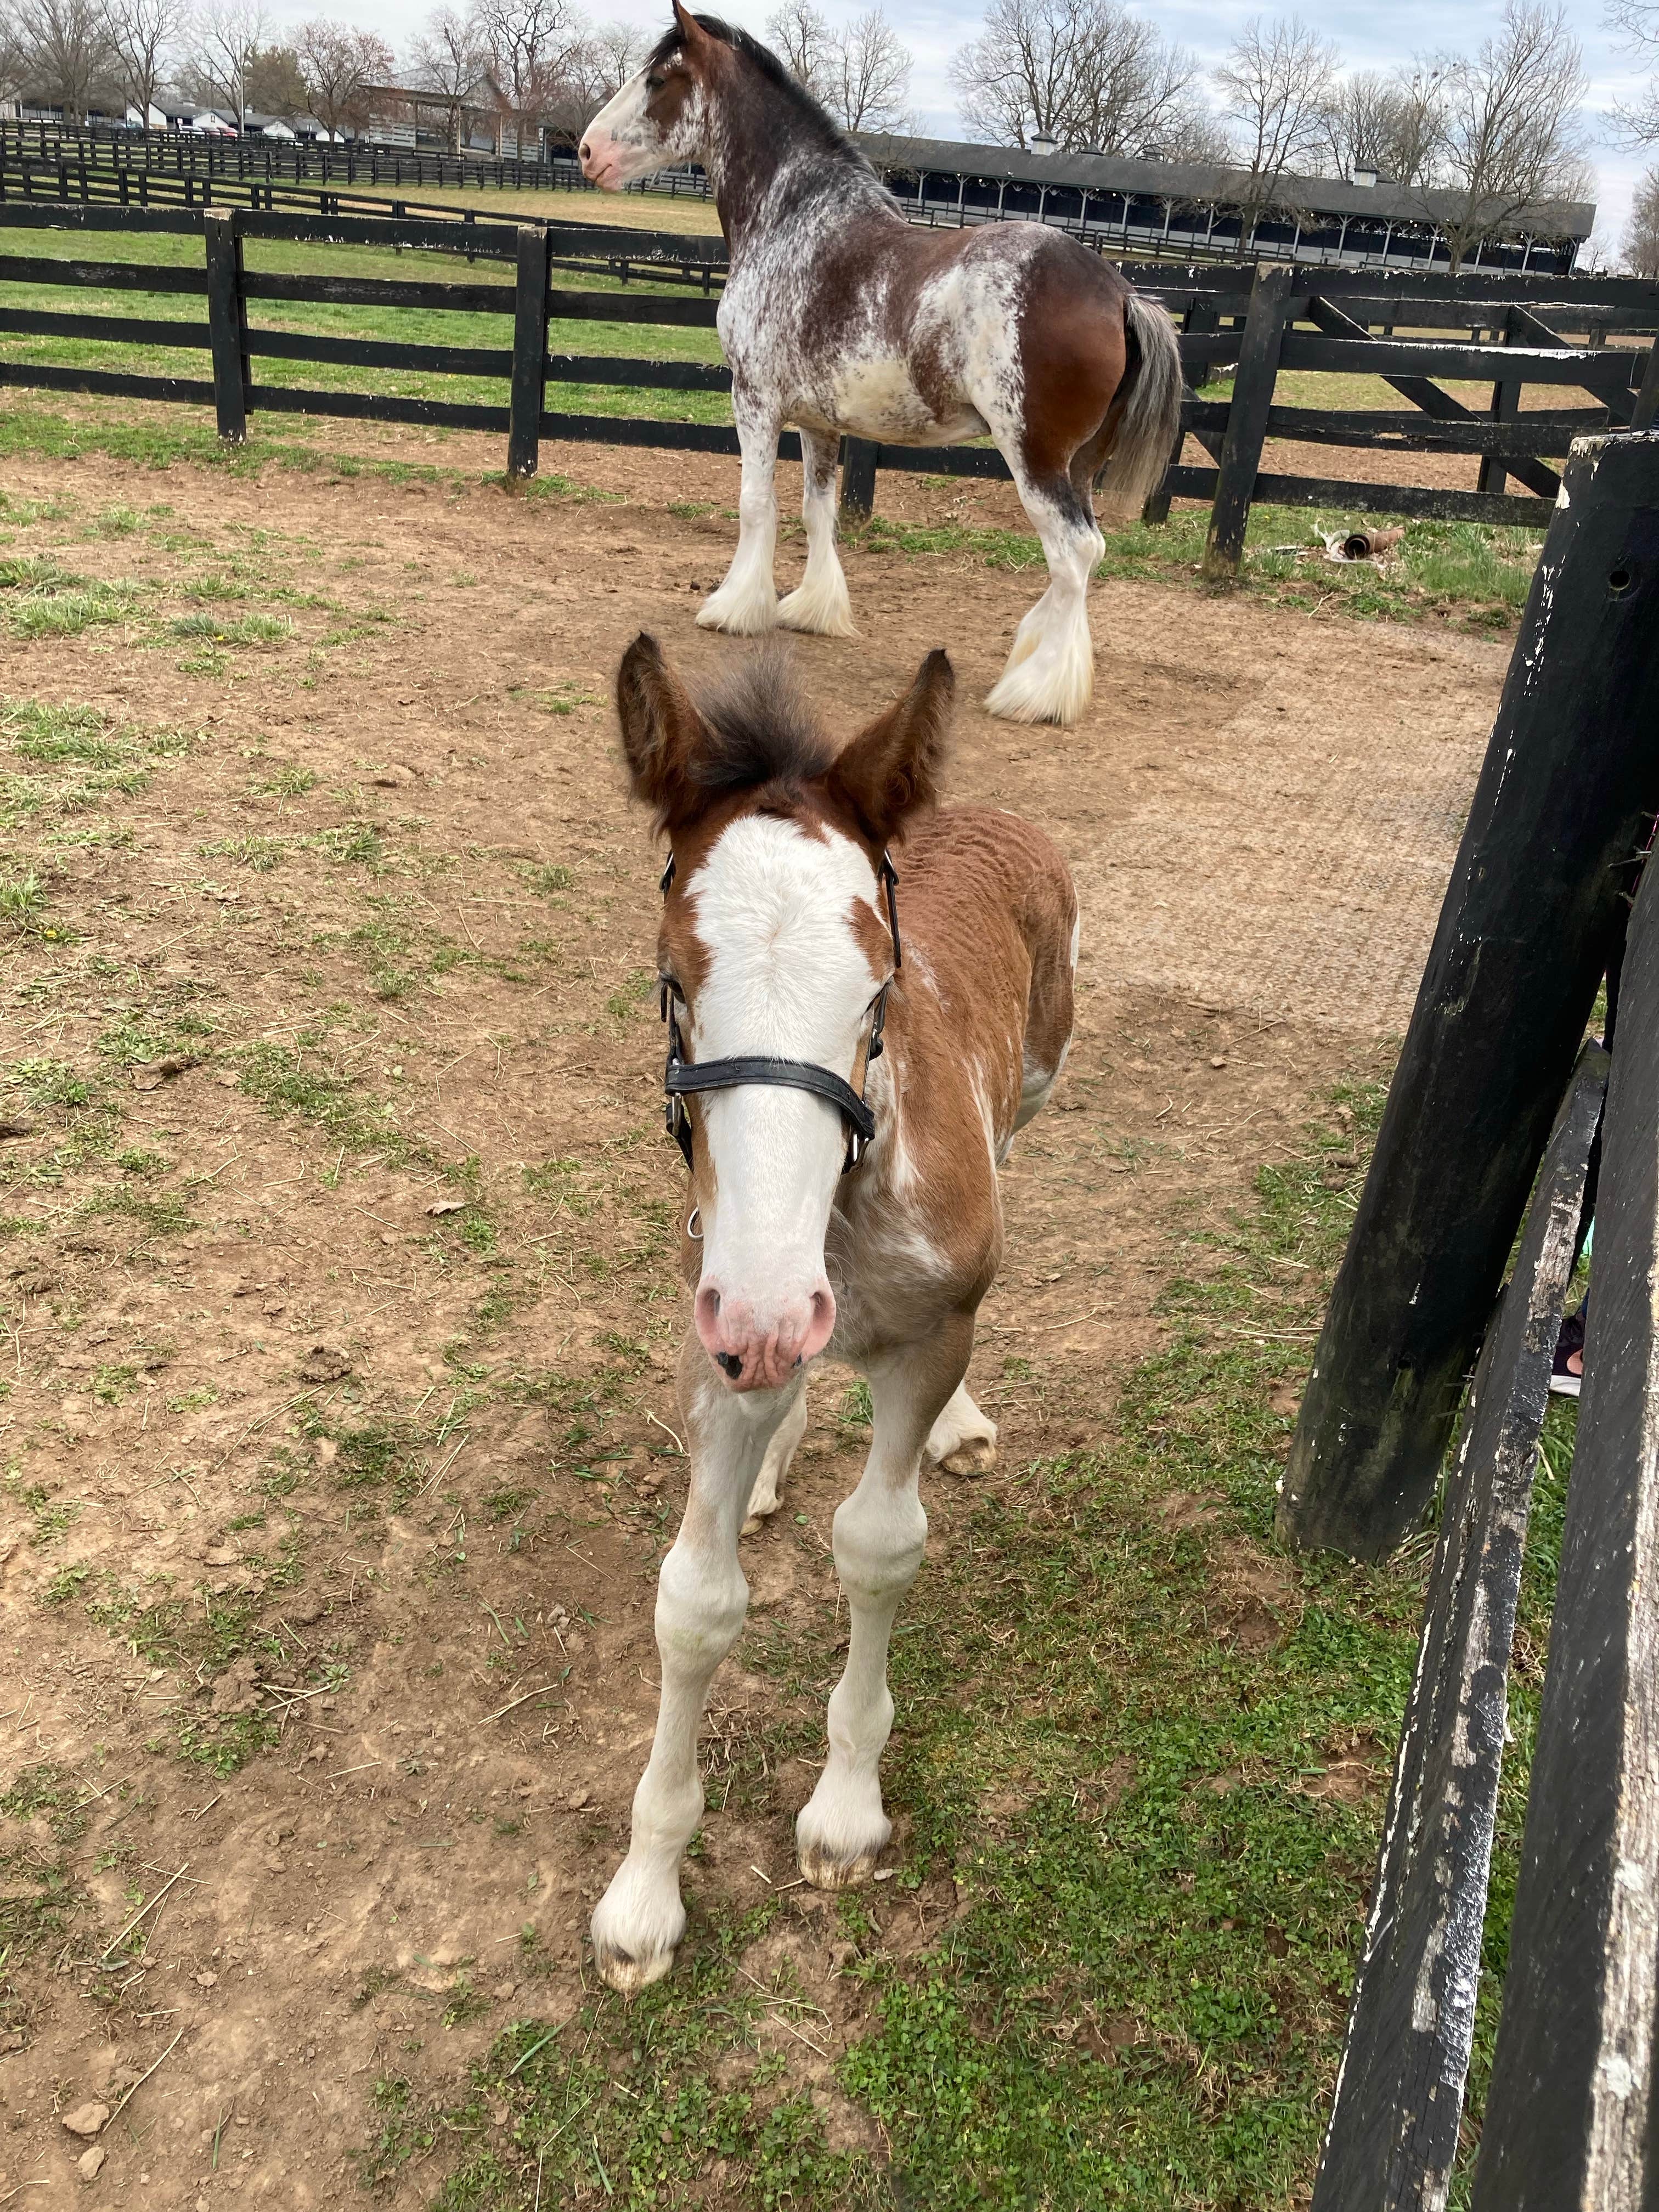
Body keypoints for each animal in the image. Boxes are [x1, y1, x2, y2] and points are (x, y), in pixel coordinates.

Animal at [580, 5, 1183, 728]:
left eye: (660, 78)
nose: (586, 151)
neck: (795, 223)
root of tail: (1119, 294)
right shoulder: (817, 421)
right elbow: (818, 511)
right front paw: (811, 609)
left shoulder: (754, 400)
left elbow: (756, 505)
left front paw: (733, 607)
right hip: (1081, 464)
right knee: (1085, 556)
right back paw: (1037, 652)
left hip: (1035, 458)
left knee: (1074, 554)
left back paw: (1035, 693)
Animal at [588, 631, 1078, 1991]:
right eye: (672, 983)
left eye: (877, 995)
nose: (772, 1306)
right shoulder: (715, 1328)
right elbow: (694, 1602)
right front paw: (644, 1893)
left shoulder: (921, 1329)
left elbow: (878, 1545)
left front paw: (847, 1811)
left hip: (1032, 1097)